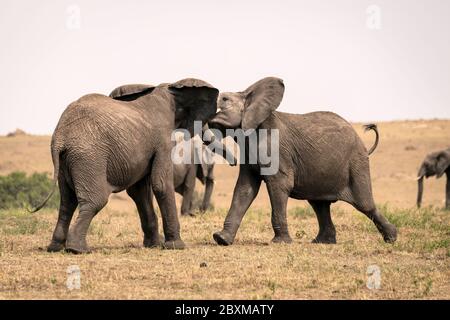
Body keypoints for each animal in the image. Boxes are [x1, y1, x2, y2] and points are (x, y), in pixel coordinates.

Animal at [32, 77, 221, 252]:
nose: (197, 213)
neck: (171, 89)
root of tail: (60, 136)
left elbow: (140, 192)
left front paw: (153, 245)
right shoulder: (163, 140)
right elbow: (160, 184)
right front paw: (176, 246)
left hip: (66, 161)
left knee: (67, 202)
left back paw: (55, 247)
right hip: (88, 157)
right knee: (96, 200)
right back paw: (78, 249)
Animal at [207, 77, 398, 245]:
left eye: (224, 99)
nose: (231, 162)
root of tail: (364, 146)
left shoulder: (276, 149)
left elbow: (279, 184)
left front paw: (280, 243)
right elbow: (245, 189)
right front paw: (221, 239)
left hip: (356, 163)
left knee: (364, 204)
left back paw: (392, 238)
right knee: (319, 205)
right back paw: (323, 242)